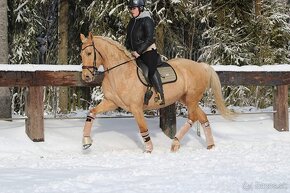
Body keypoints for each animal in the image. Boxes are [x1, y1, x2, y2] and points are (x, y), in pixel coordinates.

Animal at [79, 32, 233, 152]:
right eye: (81, 54)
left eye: (89, 53)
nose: (86, 76)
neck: (120, 73)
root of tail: (201, 66)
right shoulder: (111, 102)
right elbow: (91, 113)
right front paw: (86, 141)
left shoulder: (136, 108)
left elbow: (143, 129)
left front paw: (148, 150)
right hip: (187, 100)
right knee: (202, 118)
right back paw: (210, 145)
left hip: (191, 99)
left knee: (193, 117)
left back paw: (175, 143)